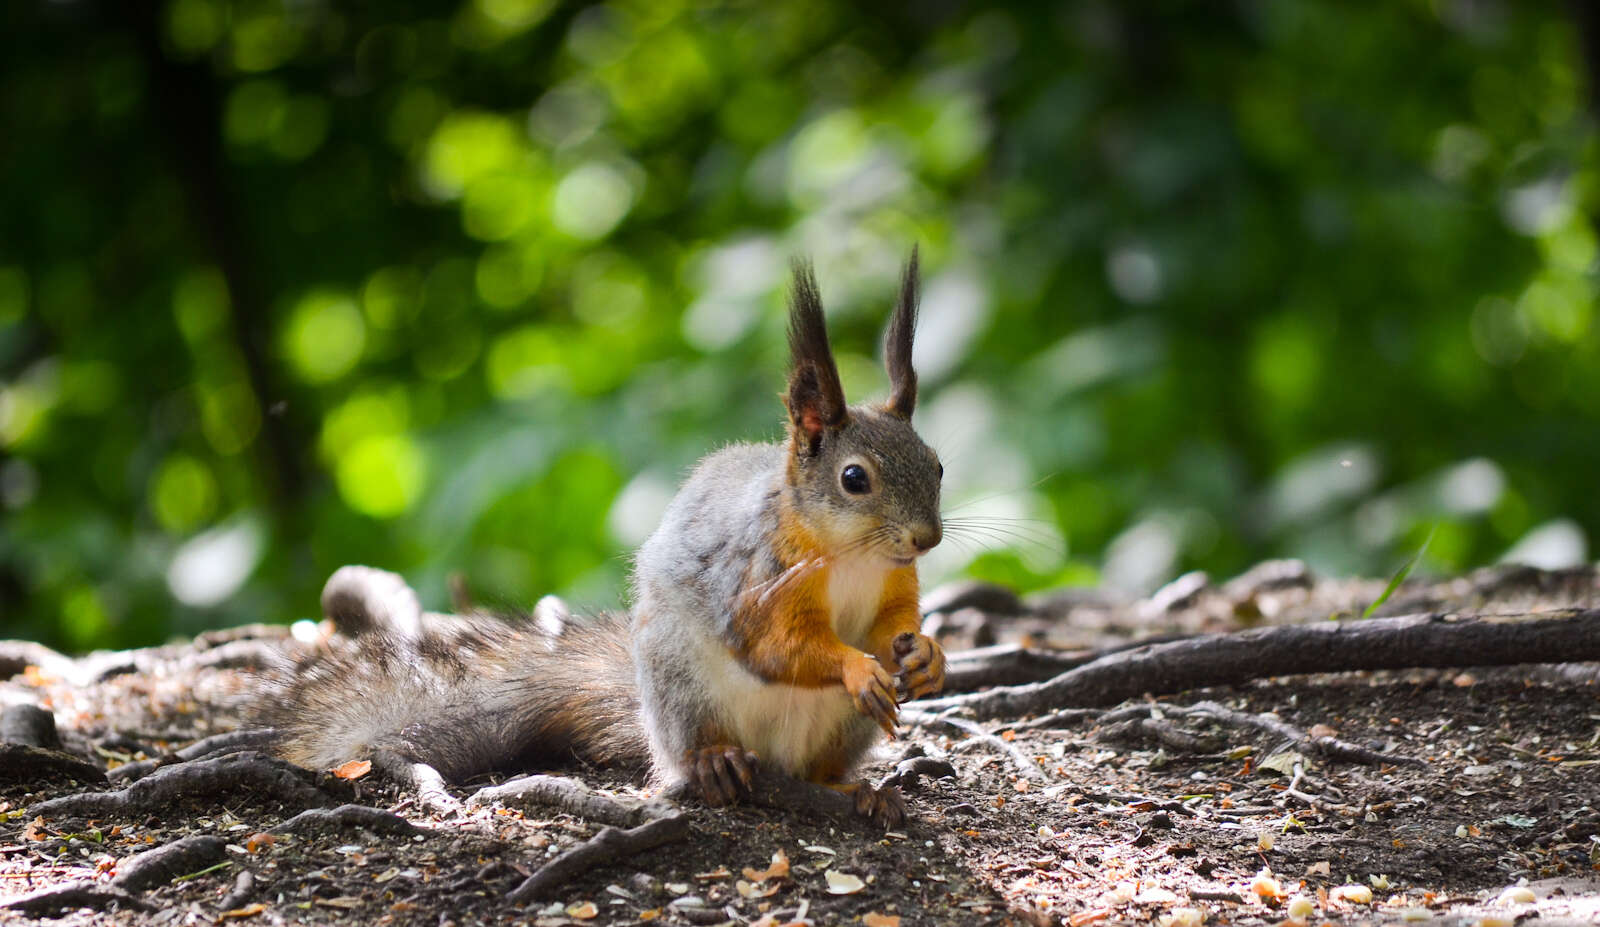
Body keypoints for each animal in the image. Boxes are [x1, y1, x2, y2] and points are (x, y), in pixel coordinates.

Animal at [256, 248, 940, 826]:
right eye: (854, 479)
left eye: (935, 464)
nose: (926, 540)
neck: (852, 554)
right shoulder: (755, 576)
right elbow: (776, 646)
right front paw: (856, 666)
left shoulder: (894, 583)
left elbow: (893, 626)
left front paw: (925, 656)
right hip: (681, 684)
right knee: (695, 750)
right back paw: (715, 763)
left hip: (838, 730)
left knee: (820, 768)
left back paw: (856, 789)